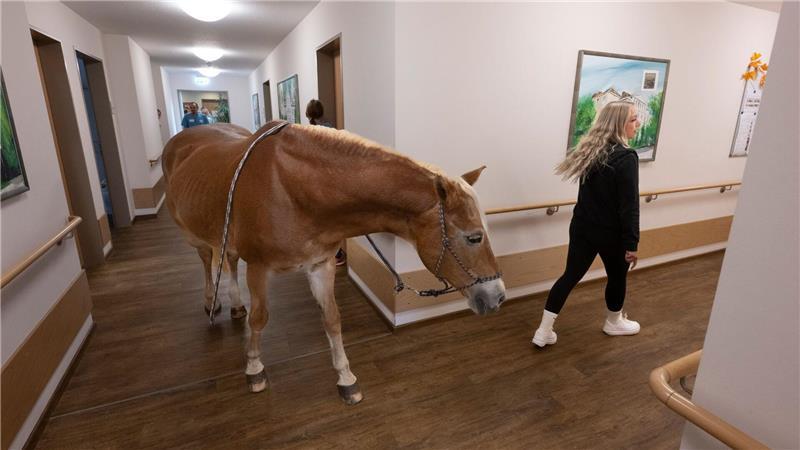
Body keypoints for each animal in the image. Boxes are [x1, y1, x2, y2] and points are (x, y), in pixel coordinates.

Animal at [162, 121, 506, 404]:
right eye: (474, 237)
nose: (499, 296)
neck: (293, 191)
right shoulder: (259, 267)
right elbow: (260, 319)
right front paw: (255, 368)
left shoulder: (321, 265)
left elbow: (332, 319)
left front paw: (345, 378)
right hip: (193, 235)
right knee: (208, 260)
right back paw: (211, 301)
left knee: (230, 261)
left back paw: (235, 303)